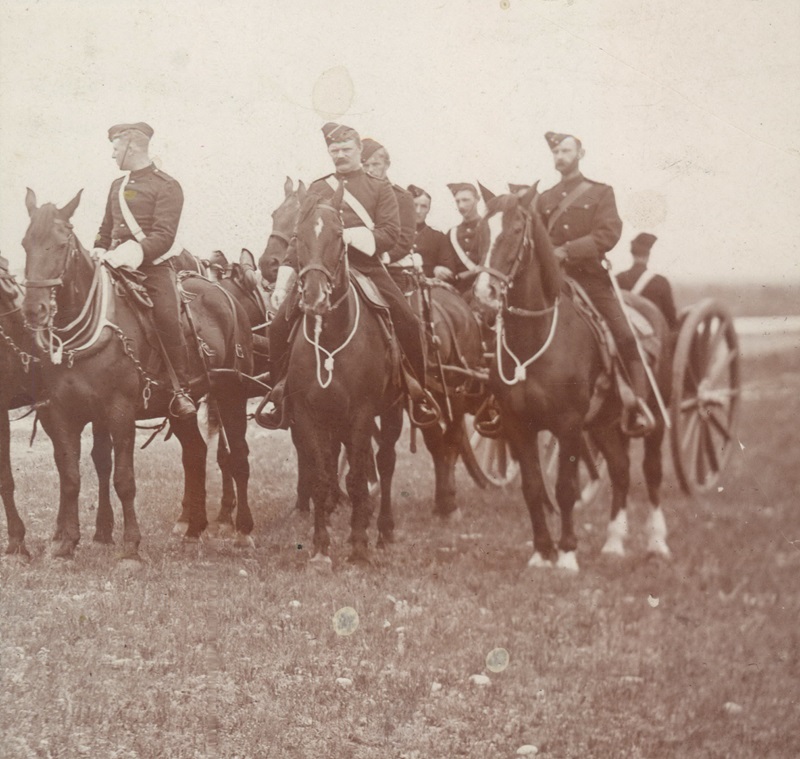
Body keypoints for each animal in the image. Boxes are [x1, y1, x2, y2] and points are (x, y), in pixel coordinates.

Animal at [21, 187, 253, 560]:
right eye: (25, 243)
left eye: (61, 243)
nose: (34, 309)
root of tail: (224, 293)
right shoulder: (61, 412)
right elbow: (70, 477)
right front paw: (66, 543)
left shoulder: (119, 412)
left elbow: (124, 479)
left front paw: (130, 547)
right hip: (183, 407)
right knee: (195, 452)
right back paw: (193, 528)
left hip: (232, 394)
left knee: (238, 456)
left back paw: (243, 531)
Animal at [282, 187, 406, 568]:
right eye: (297, 237)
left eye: (338, 236)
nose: (314, 298)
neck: (331, 342)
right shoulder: (308, 415)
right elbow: (322, 477)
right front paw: (321, 549)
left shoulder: (362, 414)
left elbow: (356, 477)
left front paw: (359, 547)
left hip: (391, 412)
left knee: (385, 463)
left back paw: (383, 530)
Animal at [472, 189, 672, 568]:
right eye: (479, 230)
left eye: (516, 229)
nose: (484, 295)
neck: (535, 338)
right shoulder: (519, 425)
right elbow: (533, 488)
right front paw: (541, 552)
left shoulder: (567, 425)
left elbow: (565, 489)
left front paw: (565, 555)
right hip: (604, 423)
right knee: (621, 469)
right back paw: (613, 543)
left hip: (653, 416)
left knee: (653, 472)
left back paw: (657, 543)